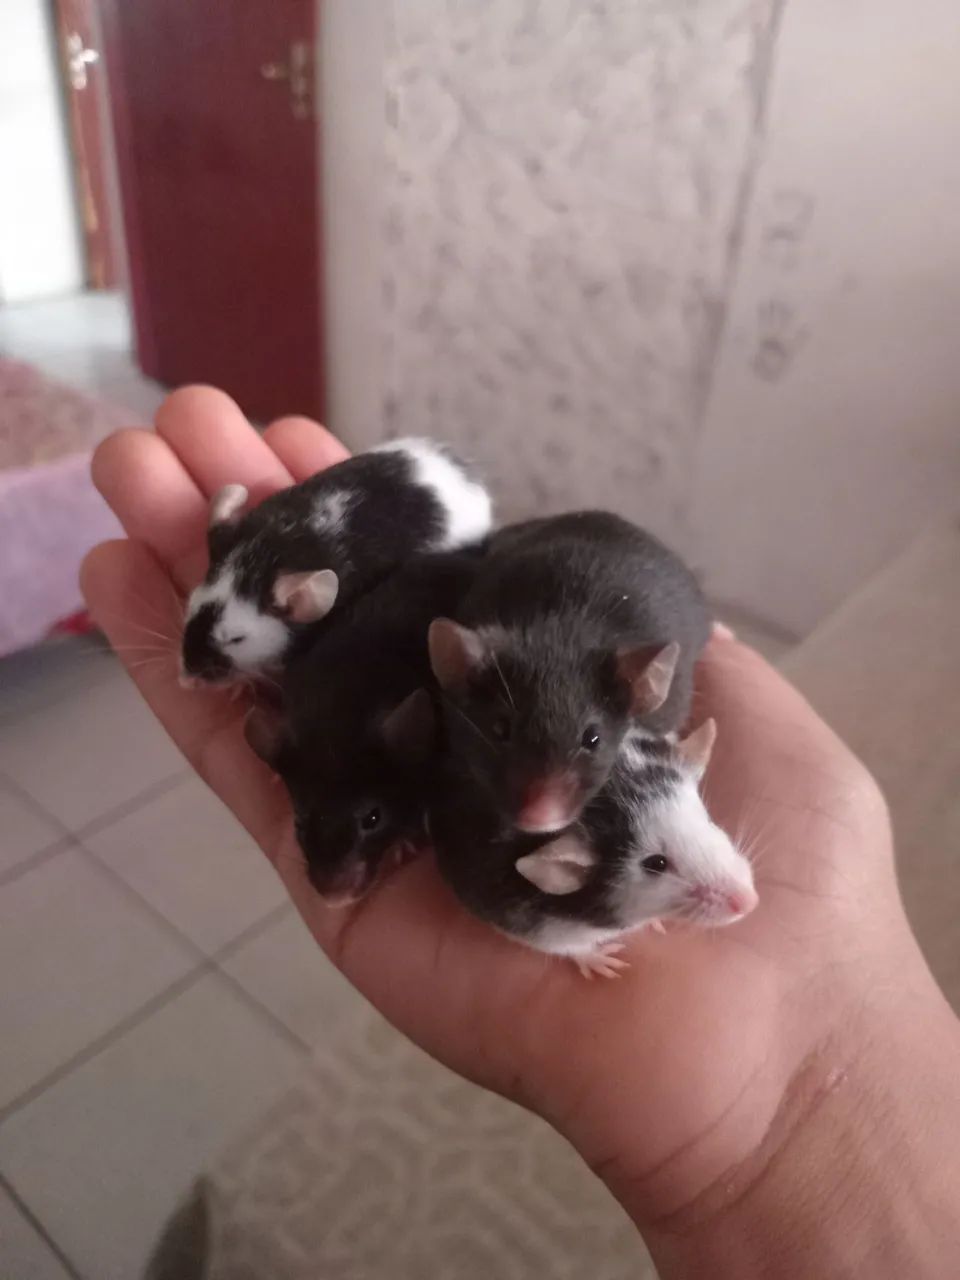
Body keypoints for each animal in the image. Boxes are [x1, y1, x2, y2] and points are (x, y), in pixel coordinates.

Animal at [431, 719, 757, 977]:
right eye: (656, 864)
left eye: (706, 818)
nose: (749, 902)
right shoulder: (531, 924)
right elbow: (566, 947)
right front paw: (596, 958)